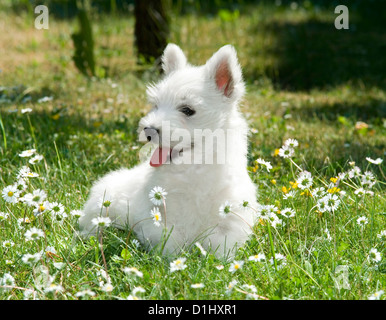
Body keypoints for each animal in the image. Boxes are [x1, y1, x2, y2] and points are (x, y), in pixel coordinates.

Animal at [79, 43, 258, 258]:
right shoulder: (160, 219)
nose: (148, 130)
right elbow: (170, 243)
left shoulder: (229, 221)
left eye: (187, 110)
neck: (194, 169)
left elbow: (220, 246)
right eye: (156, 105)